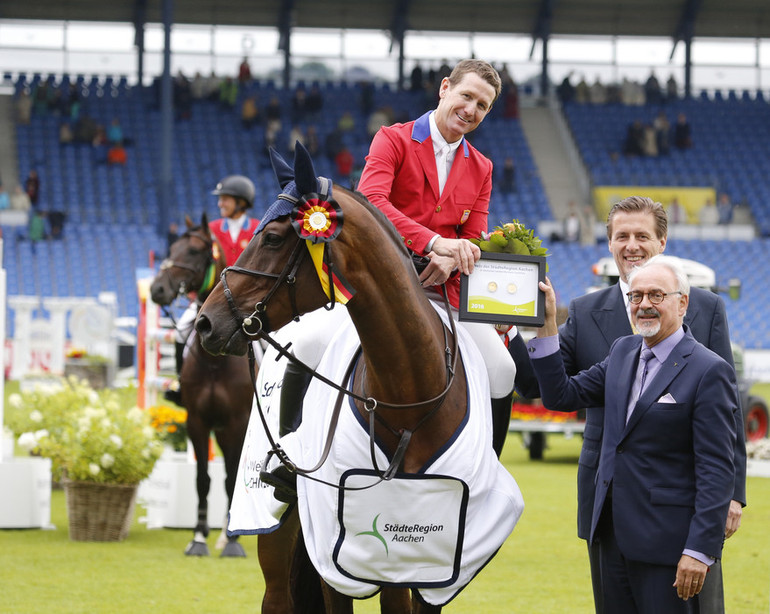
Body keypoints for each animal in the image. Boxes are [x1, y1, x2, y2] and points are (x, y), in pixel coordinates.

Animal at [150, 215, 255, 560]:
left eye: (195, 251)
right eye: (172, 249)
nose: (157, 289)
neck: (215, 361)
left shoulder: (237, 423)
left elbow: (231, 476)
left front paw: (232, 542)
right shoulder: (197, 421)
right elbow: (202, 479)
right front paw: (198, 537)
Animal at [192, 147, 520, 612]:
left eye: (272, 238)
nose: (206, 323)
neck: (409, 394)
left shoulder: (432, 560)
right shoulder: (340, 550)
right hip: (278, 546)